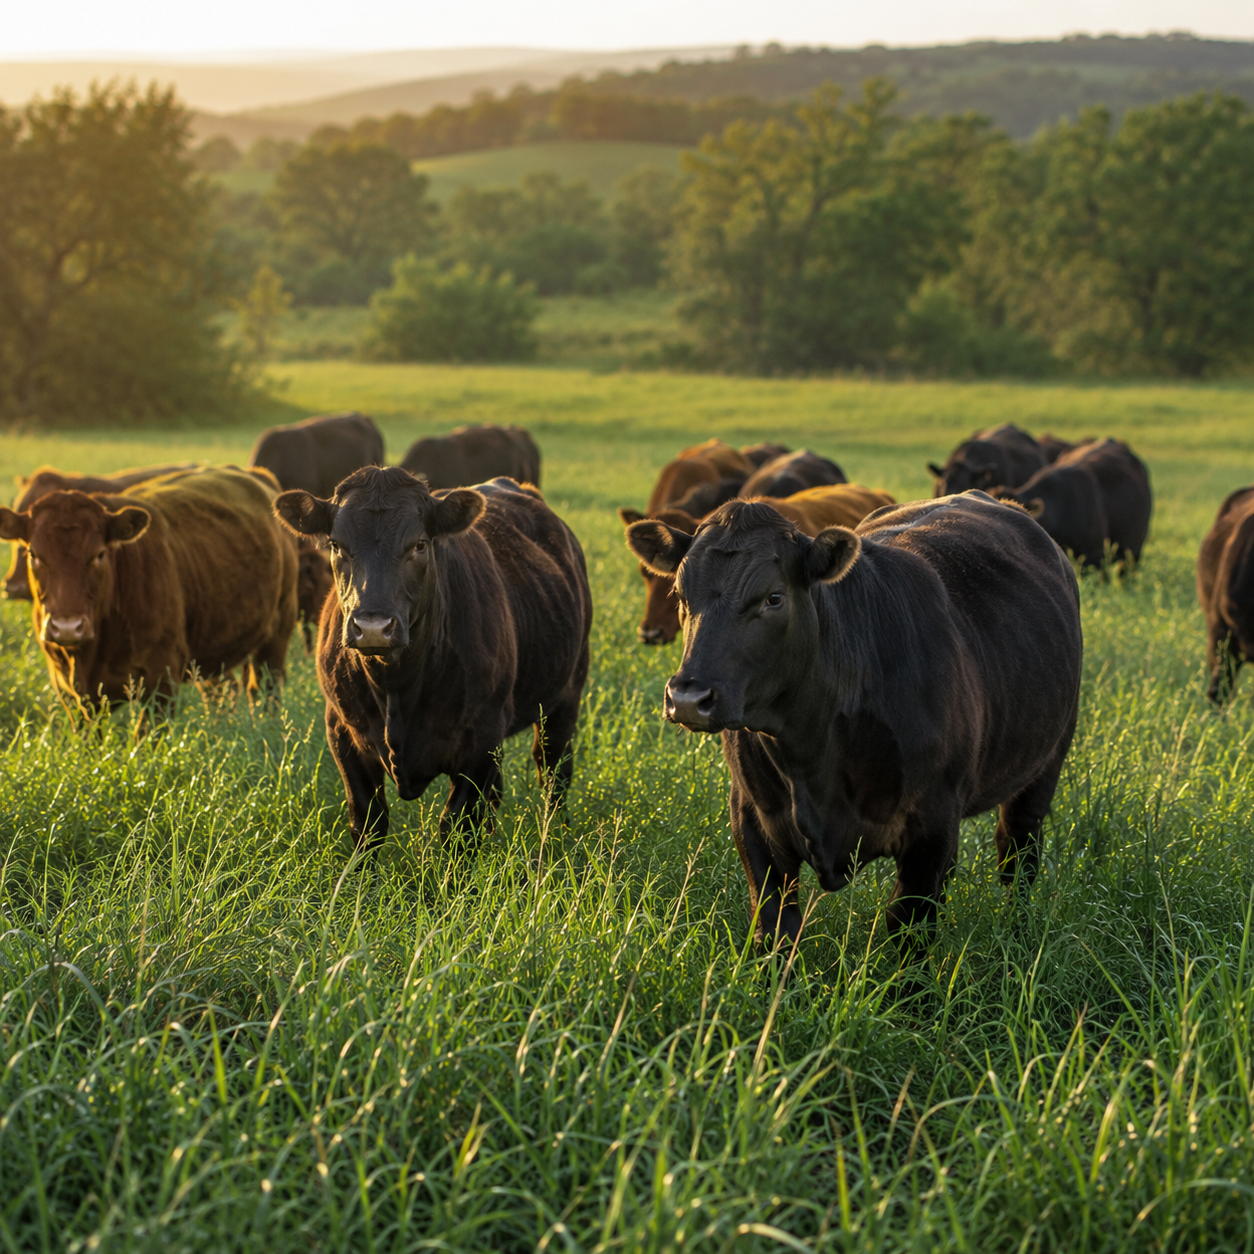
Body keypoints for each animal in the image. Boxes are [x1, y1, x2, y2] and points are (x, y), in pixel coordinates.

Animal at [274, 468, 591, 852]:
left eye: (420, 544)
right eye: (336, 544)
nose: (373, 627)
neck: (396, 687)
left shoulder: (481, 737)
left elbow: (457, 827)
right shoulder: (342, 732)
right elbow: (367, 822)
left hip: (566, 696)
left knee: (554, 772)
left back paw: (557, 835)